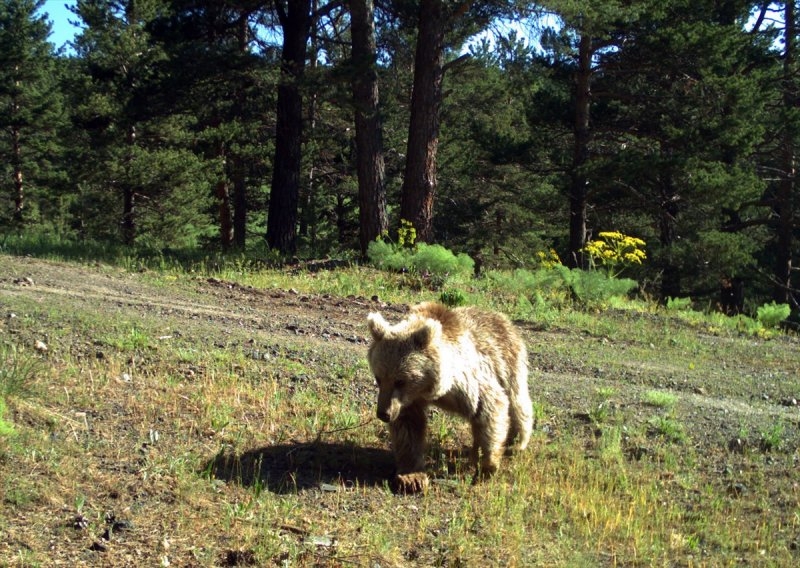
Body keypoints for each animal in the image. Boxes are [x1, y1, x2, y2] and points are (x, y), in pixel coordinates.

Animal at [368, 302, 532, 492]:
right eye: (379, 378)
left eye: (400, 381)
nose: (383, 413)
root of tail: (502, 318)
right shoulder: (408, 401)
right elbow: (408, 427)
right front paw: (411, 478)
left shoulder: (469, 382)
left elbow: (490, 407)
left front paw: (487, 467)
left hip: (508, 361)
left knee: (517, 402)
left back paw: (516, 442)